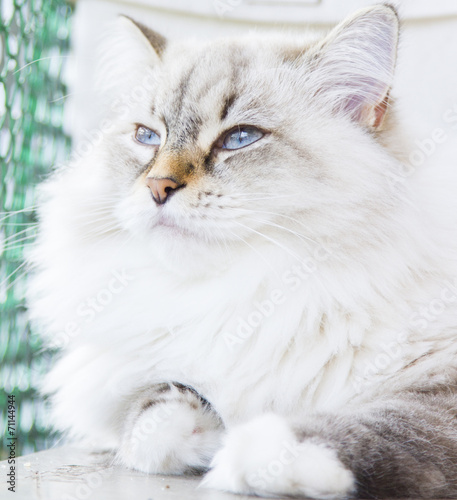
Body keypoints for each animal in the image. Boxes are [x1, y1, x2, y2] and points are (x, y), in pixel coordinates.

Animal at [25, 2, 457, 496]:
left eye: (240, 139)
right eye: (147, 137)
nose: (157, 187)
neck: (254, 292)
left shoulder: (439, 380)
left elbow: (388, 425)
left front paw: (254, 450)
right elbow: (150, 419)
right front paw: (208, 431)